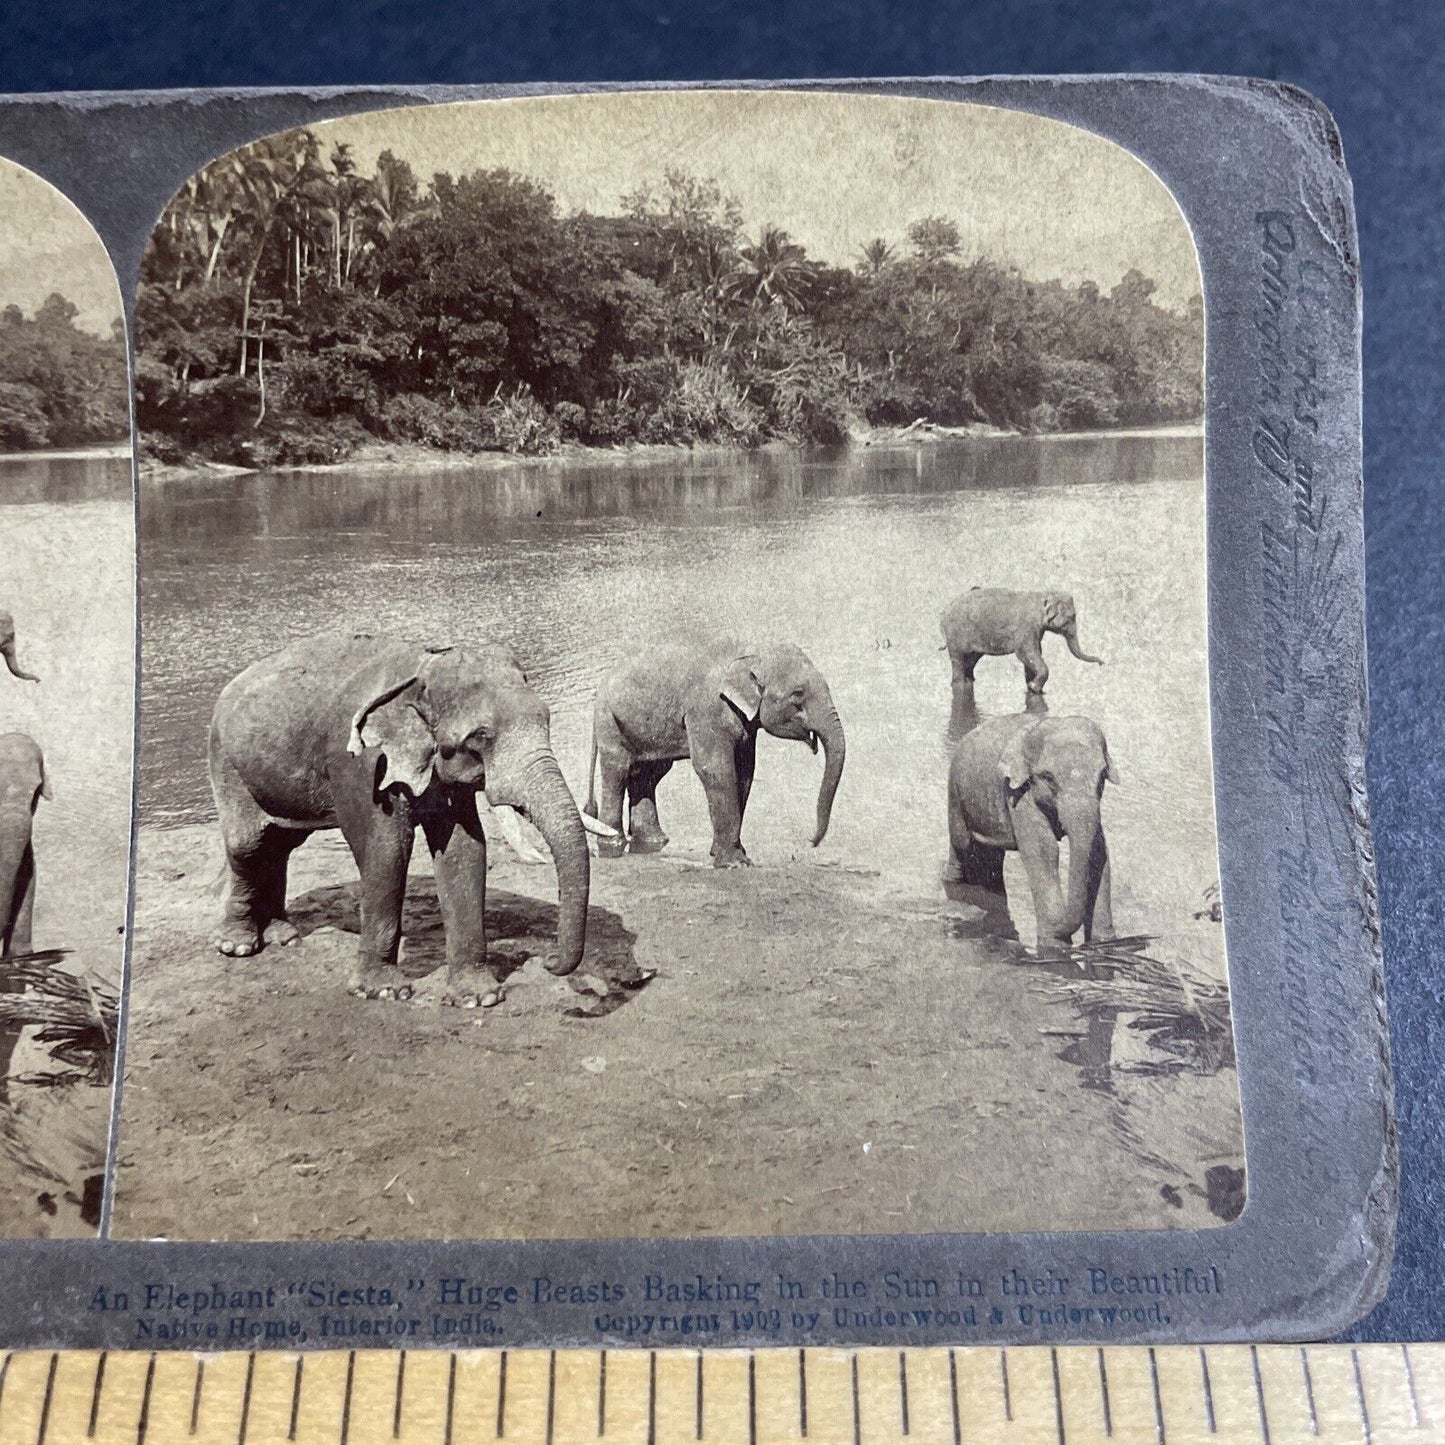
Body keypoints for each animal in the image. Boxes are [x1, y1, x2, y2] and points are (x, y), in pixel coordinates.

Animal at [206, 632, 612, 1005]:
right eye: (481, 736)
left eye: (547, 719)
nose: (547, 961)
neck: (420, 669)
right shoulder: (361, 762)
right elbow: (388, 850)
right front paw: (384, 991)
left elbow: (464, 850)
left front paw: (477, 997)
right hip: (226, 762)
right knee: (247, 845)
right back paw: (239, 945)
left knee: (280, 845)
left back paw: (282, 935)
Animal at [580, 635, 843, 861]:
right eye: (798, 694)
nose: (810, 841)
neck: (750, 651)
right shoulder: (705, 710)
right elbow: (715, 768)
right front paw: (734, 862)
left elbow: (744, 771)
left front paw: (727, 853)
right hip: (609, 720)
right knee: (617, 770)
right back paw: (613, 842)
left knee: (648, 773)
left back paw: (654, 841)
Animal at [936, 589, 1103, 696]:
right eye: (1071, 617)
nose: (1102, 663)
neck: (1041, 594)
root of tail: (943, 611)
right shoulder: (1026, 626)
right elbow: (1025, 653)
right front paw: (1034, 688)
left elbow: (1033, 655)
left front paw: (1032, 689)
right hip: (955, 635)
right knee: (958, 660)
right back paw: (961, 685)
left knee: (971, 660)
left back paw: (970, 682)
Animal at [947, 713, 1115, 947]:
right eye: (1048, 777)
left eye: (1102, 775)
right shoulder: (1017, 792)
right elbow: (1043, 849)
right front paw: (1053, 943)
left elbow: (1100, 850)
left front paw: (1104, 942)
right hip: (955, 792)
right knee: (961, 844)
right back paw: (954, 881)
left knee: (993, 856)